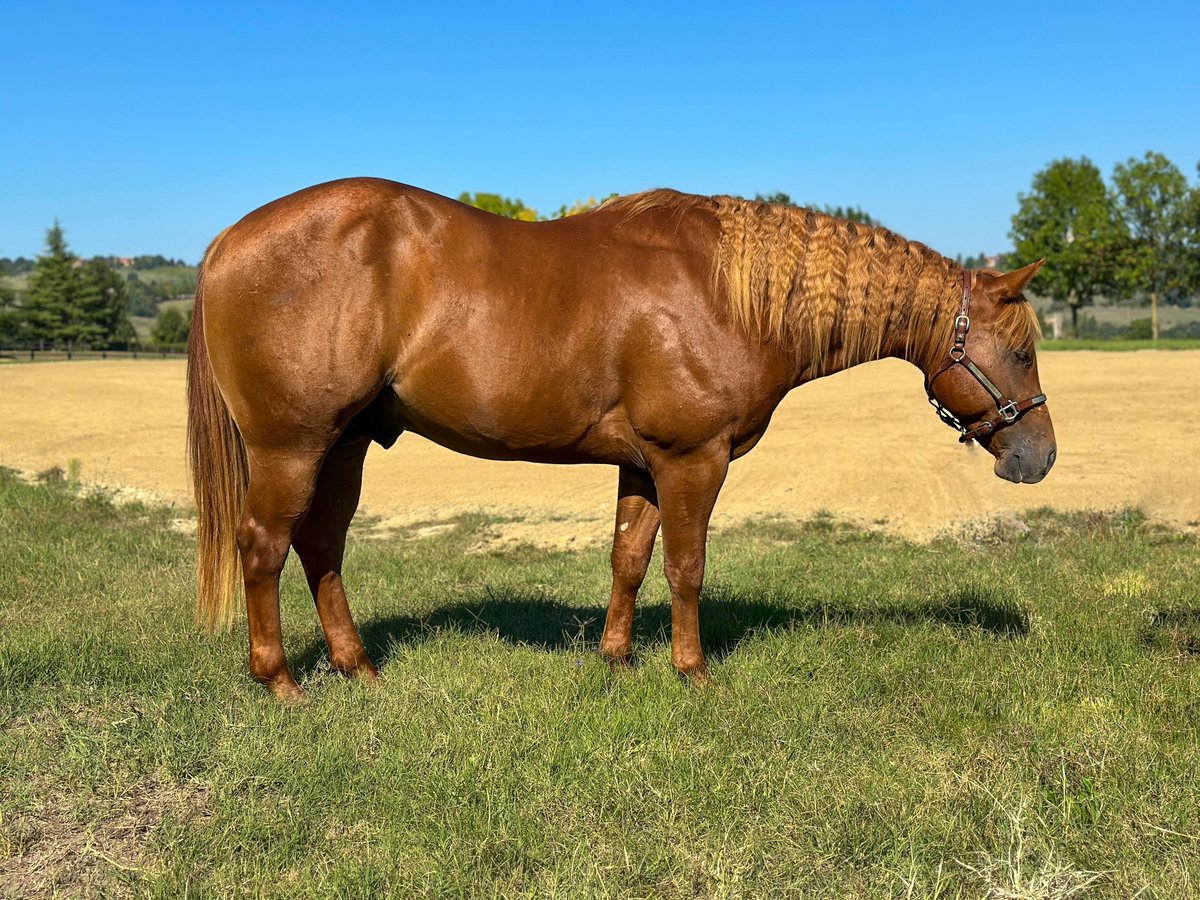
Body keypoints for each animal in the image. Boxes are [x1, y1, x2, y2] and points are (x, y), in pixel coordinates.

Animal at [187, 179, 1055, 699]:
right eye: (1020, 350)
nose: (1039, 457)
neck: (726, 292)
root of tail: (228, 239)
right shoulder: (693, 460)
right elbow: (686, 568)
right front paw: (692, 671)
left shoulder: (644, 465)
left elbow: (630, 558)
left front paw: (616, 657)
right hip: (292, 446)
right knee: (264, 546)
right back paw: (281, 682)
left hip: (345, 444)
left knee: (321, 546)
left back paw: (357, 667)